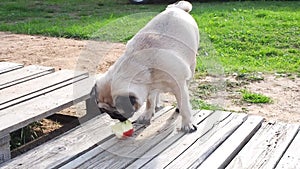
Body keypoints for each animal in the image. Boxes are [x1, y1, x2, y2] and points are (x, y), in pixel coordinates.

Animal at [92, 0, 198, 133]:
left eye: (118, 112)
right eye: (105, 111)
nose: (114, 117)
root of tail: (177, 8)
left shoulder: (178, 86)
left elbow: (184, 107)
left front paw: (187, 123)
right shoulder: (149, 87)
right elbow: (149, 101)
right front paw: (147, 114)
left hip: (191, 66)